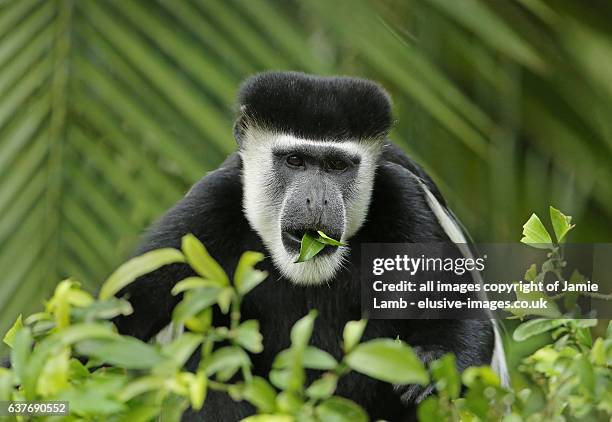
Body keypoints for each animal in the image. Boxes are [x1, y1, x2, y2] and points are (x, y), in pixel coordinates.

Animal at [113, 71, 506, 420]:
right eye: (295, 161)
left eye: (336, 166)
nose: (317, 200)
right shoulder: (204, 211)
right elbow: (125, 311)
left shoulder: (405, 198)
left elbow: (460, 312)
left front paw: (429, 369)